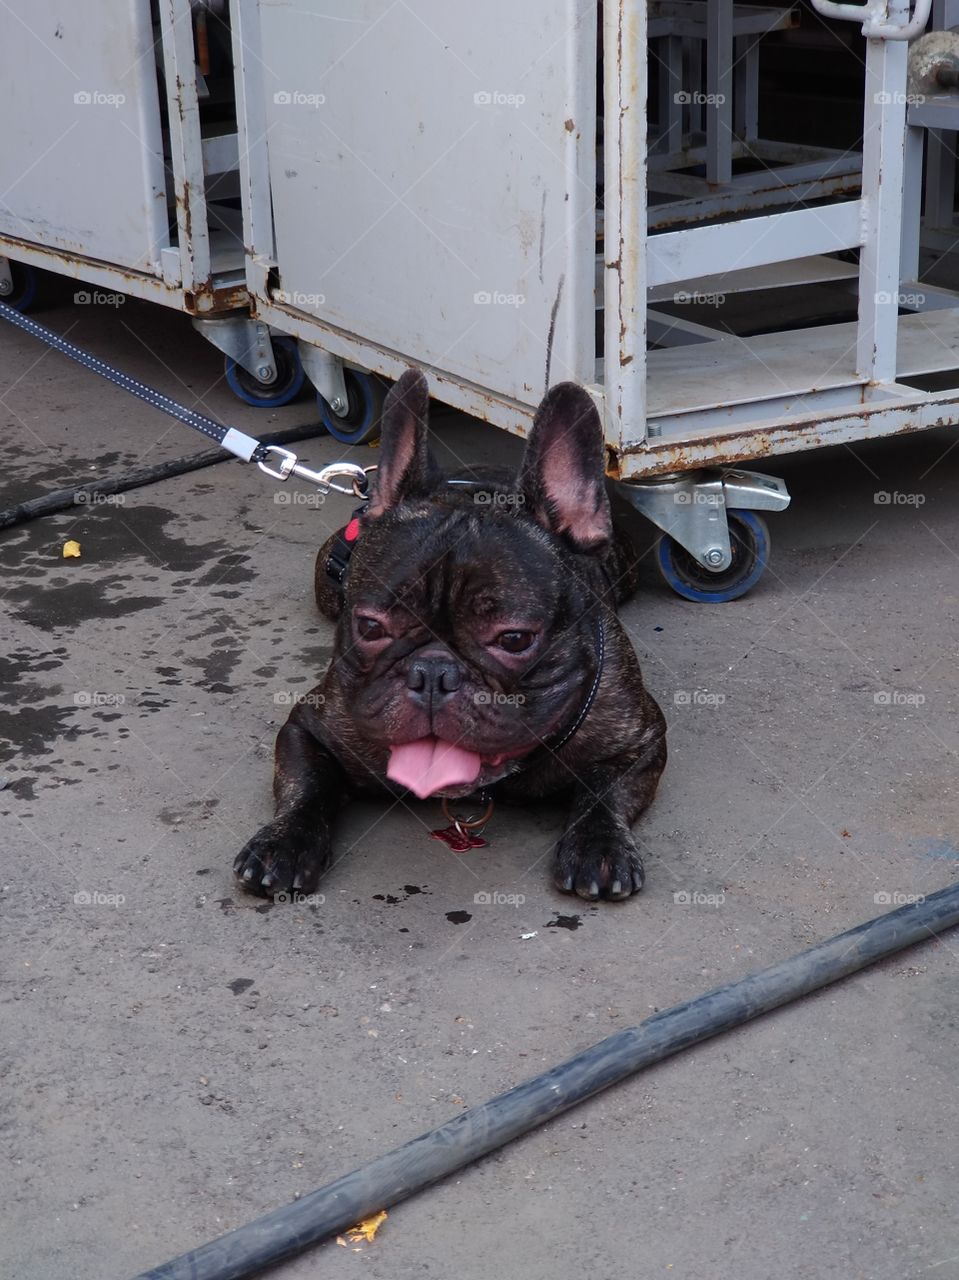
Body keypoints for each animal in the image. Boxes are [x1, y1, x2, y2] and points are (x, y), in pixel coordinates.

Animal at [234, 371, 665, 901]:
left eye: (514, 639)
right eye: (370, 627)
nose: (433, 673)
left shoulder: (638, 741)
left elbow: (603, 791)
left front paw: (599, 846)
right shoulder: (309, 727)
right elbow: (307, 786)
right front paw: (284, 842)